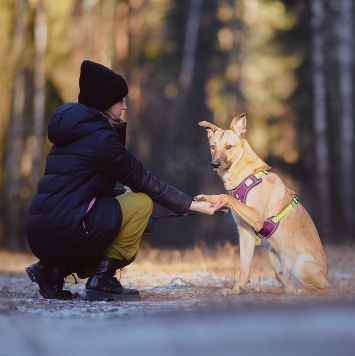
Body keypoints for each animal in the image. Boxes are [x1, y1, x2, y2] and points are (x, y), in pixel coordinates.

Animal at [196, 114, 330, 294]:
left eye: (229, 146)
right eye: (212, 146)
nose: (214, 164)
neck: (246, 177)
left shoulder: (256, 216)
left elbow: (226, 197)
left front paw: (212, 198)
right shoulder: (246, 233)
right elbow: (244, 268)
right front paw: (235, 290)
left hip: (301, 264)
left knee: (314, 290)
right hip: (273, 257)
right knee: (288, 288)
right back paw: (268, 289)